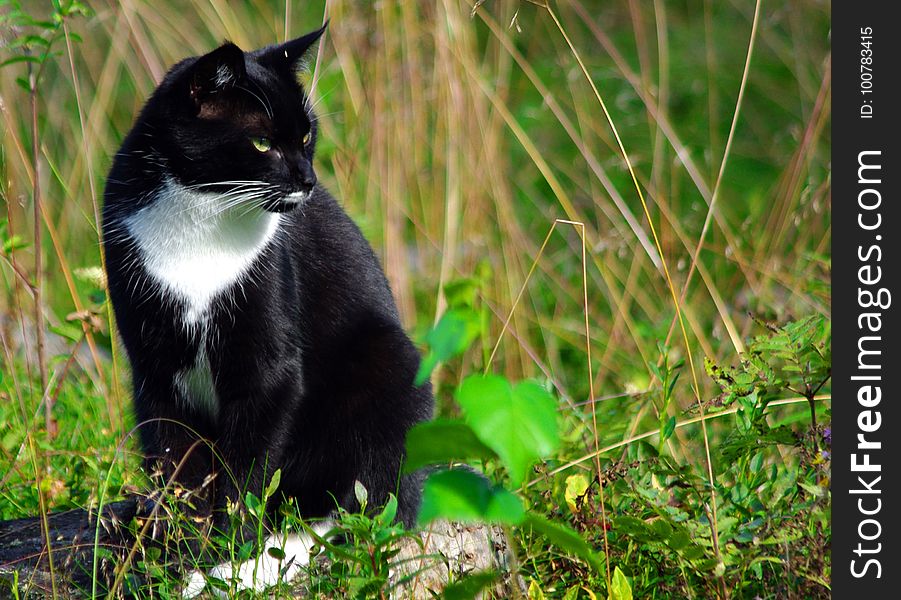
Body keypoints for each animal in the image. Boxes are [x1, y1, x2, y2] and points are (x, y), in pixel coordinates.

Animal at [102, 24, 432, 596]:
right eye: (261, 141)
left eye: (305, 136)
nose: (307, 180)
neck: (201, 218)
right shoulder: (153, 366)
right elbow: (175, 461)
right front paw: (178, 547)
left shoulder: (267, 360)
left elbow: (247, 472)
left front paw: (224, 553)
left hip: (392, 367)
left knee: (361, 507)